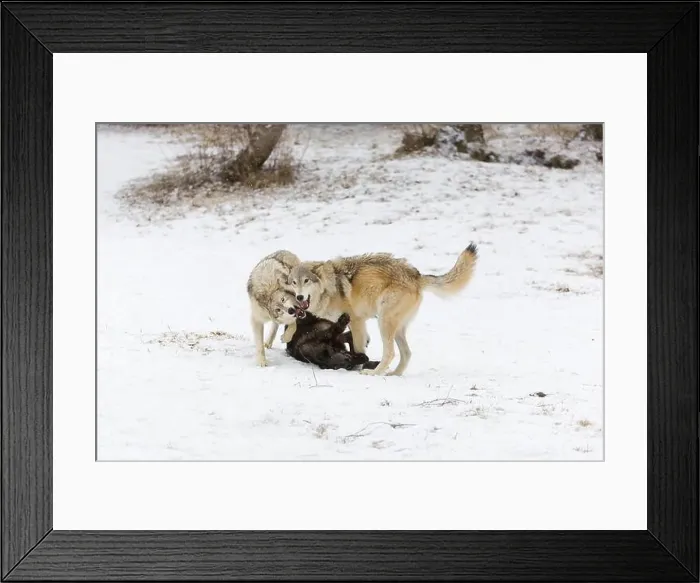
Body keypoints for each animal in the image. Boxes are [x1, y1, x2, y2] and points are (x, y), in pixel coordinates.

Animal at [287, 244, 478, 376]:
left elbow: (358, 348)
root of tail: (416, 276)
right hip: (397, 328)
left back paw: (374, 373)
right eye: (294, 283)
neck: (330, 289)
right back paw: (394, 374)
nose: (300, 297)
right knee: (406, 353)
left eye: (306, 281)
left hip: (384, 322)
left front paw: (359, 364)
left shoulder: (356, 321)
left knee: (391, 353)